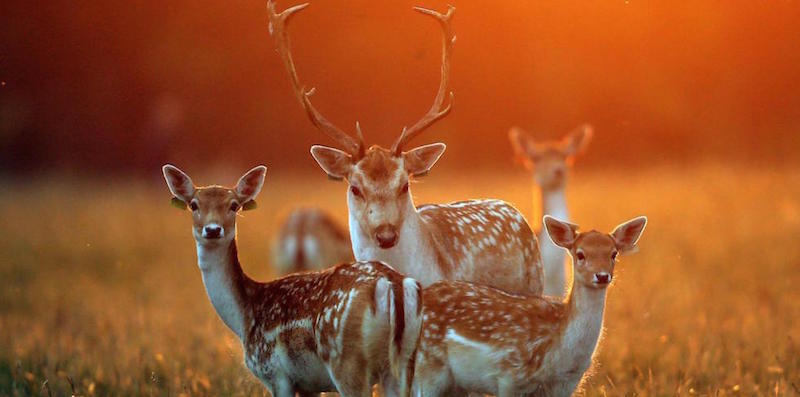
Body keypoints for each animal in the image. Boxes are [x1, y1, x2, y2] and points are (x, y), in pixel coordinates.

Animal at [163, 164, 424, 396]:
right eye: (194, 204)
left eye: (234, 205)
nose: (213, 229)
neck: (245, 316)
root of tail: (392, 285)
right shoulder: (309, 386)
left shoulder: (275, 373)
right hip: (401, 366)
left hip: (348, 363)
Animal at [410, 215, 648, 394]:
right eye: (580, 254)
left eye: (613, 254)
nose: (602, 276)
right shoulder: (510, 377)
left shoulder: (566, 385)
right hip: (428, 367)